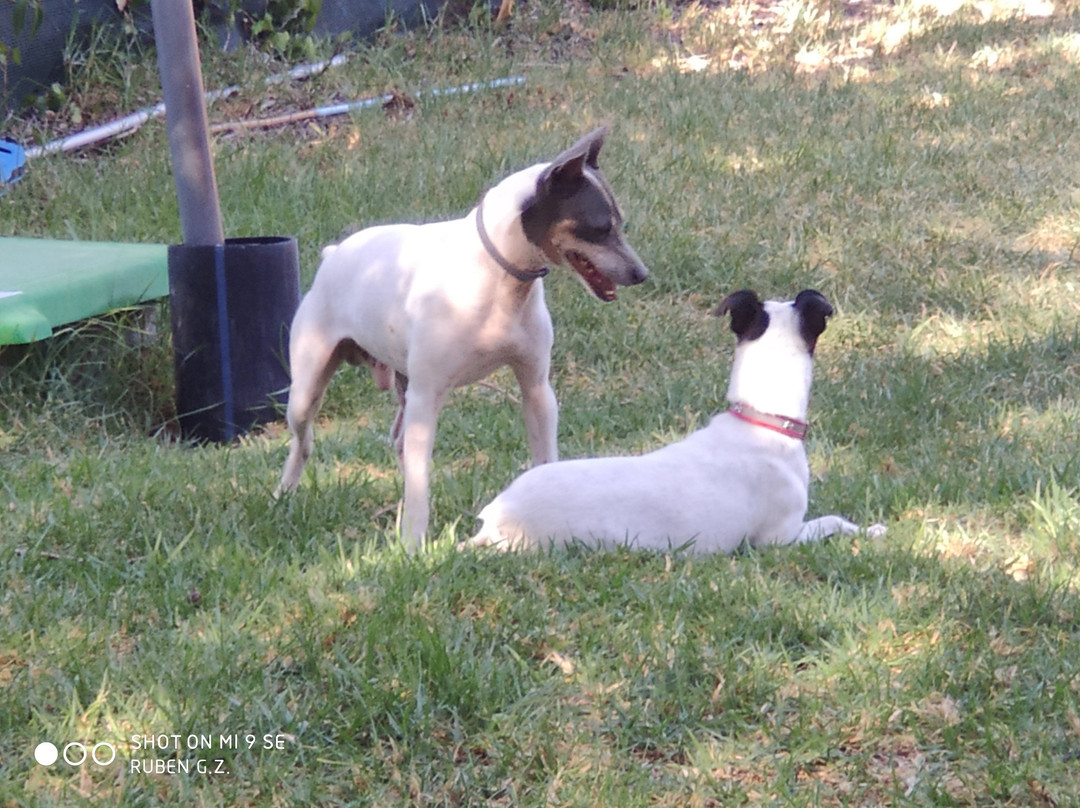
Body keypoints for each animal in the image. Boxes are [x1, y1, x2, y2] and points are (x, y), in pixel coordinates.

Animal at [278, 128, 648, 548]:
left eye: (620, 225)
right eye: (600, 228)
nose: (641, 274)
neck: (497, 279)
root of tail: (333, 254)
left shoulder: (537, 391)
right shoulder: (427, 399)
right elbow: (420, 482)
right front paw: (413, 544)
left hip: (403, 390)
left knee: (397, 443)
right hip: (307, 392)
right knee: (304, 442)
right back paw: (283, 494)